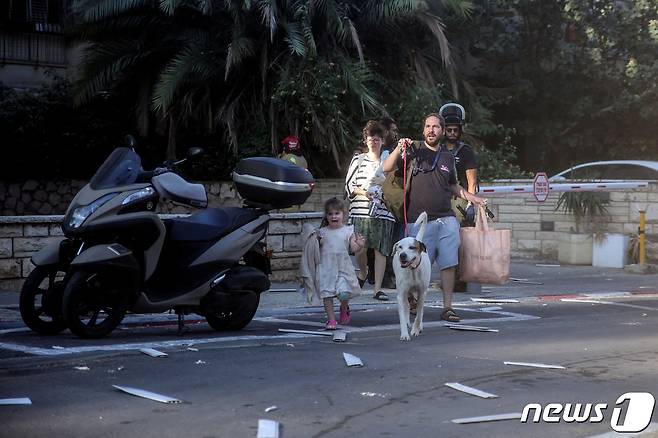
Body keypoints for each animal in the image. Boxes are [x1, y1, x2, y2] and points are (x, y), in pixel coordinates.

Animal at [390, 212, 430, 342]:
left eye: (412, 247)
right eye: (400, 247)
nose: (402, 255)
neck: (413, 270)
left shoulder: (422, 293)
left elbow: (419, 313)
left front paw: (415, 329)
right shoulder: (401, 294)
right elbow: (402, 315)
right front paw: (404, 334)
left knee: (420, 311)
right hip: (407, 292)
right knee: (407, 305)